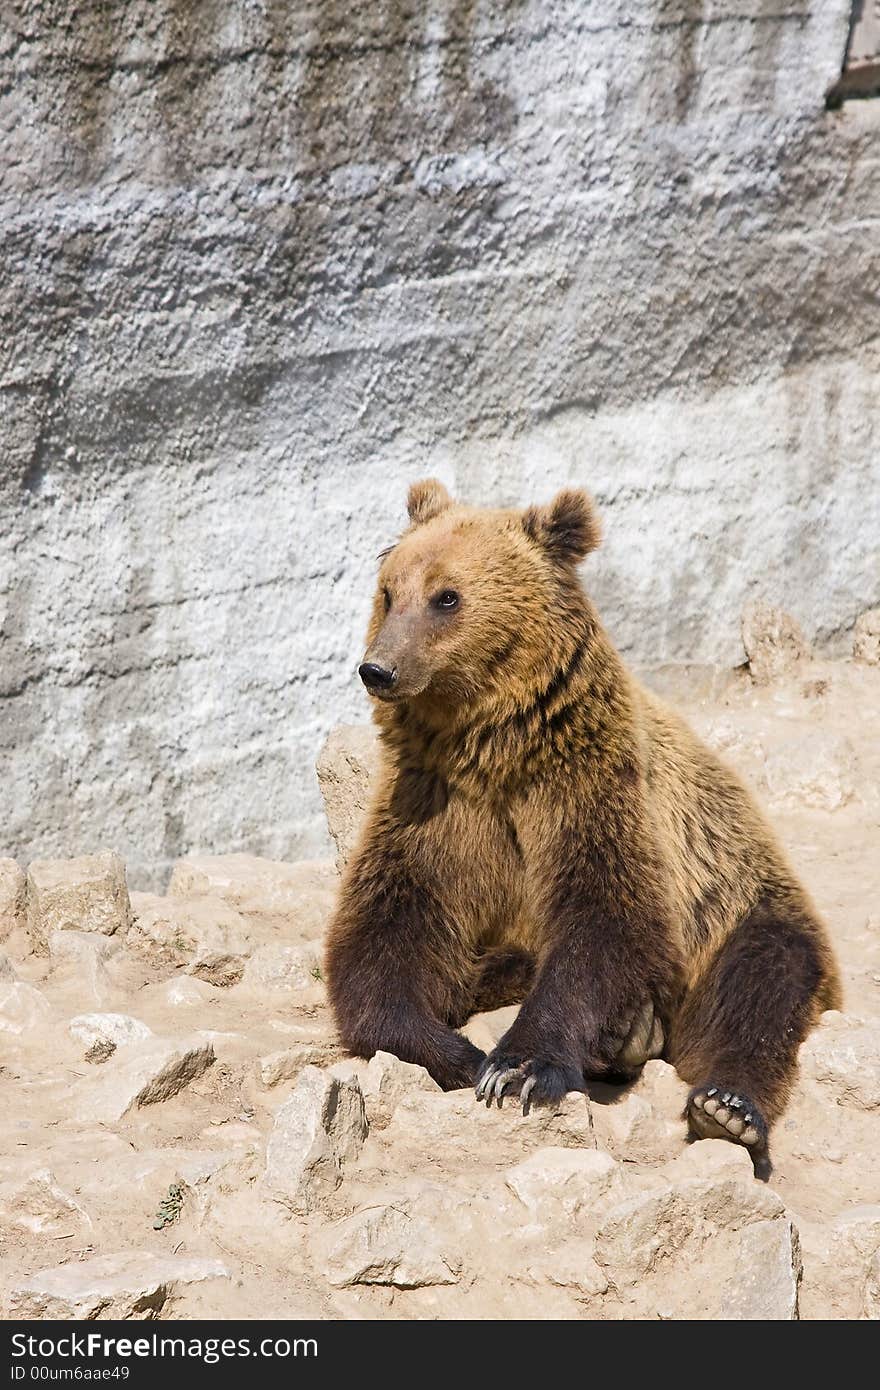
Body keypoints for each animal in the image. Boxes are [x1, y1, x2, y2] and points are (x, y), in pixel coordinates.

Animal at [322, 478, 839, 1162]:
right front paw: (460, 1053)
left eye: (446, 596)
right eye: (389, 591)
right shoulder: (430, 804)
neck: (491, 745)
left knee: (761, 984)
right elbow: (382, 942)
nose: (378, 668)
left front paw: (518, 1068)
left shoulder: (586, 785)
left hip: (738, 899)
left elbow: (605, 918)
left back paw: (722, 1105)